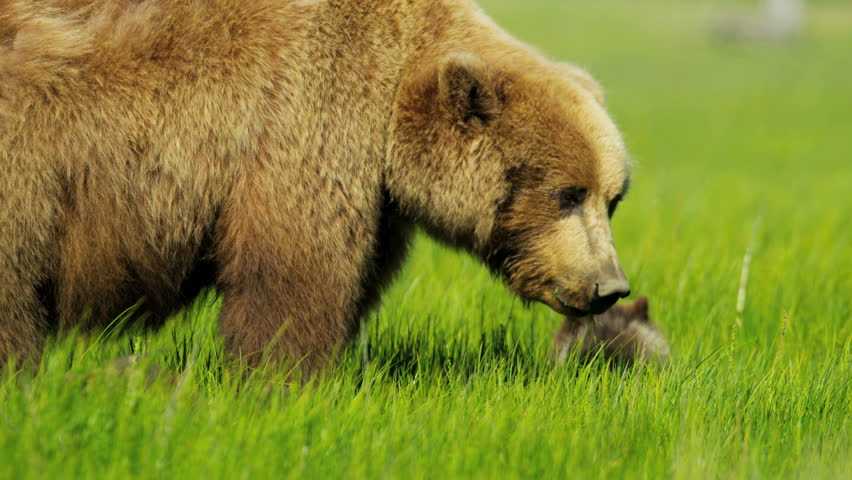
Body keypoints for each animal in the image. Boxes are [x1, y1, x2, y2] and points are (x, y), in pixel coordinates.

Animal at [0, 0, 632, 372]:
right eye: (566, 194)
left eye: (613, 198)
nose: (609, 286)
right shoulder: (304, 108)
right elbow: (295, 272)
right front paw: (280, 378)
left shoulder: (380, 201)